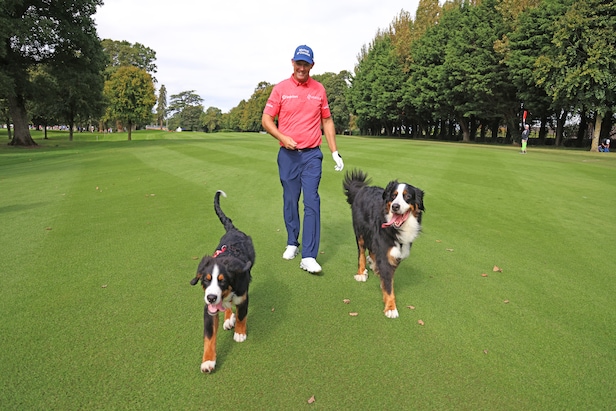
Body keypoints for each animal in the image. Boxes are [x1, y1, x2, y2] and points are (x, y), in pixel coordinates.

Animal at [189, 192, 254, 374]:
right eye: (206, 279)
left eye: (222, 281)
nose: (211, 297)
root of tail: (233, 230)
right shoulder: (209, 310)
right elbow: (209, 336)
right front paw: (208, 361)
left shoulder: (243, 296)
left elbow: (241, 316)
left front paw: (240, 333)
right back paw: (227, 318)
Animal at [342, 169, 424, 320]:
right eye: (393, 196)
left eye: (407, 196)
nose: (395, 206)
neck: (397, 229)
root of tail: (362, 188)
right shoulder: (385, 252)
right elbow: (389, 285)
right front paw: (391, 308)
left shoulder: (396, 254)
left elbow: (388, 280)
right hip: (360, 232)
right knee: (361, 252)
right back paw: (361, 272)